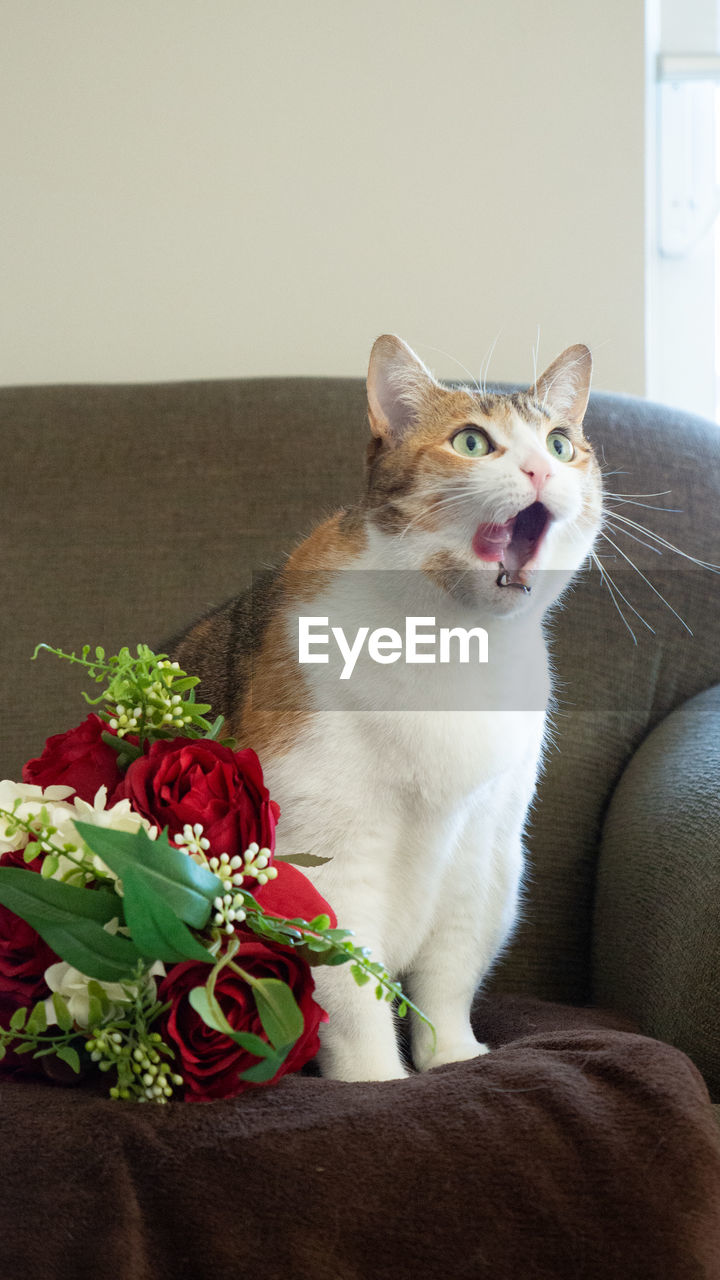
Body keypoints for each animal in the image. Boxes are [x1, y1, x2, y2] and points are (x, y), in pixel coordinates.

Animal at [165, 332, 597, 1080]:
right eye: (472, 442)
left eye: (561, 443)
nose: (542, 467)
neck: (457, 643)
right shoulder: (327, 852)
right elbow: (348, 987)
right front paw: (376, 1081)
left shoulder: (485, 852)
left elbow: (450, 976)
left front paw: (454, 1056)